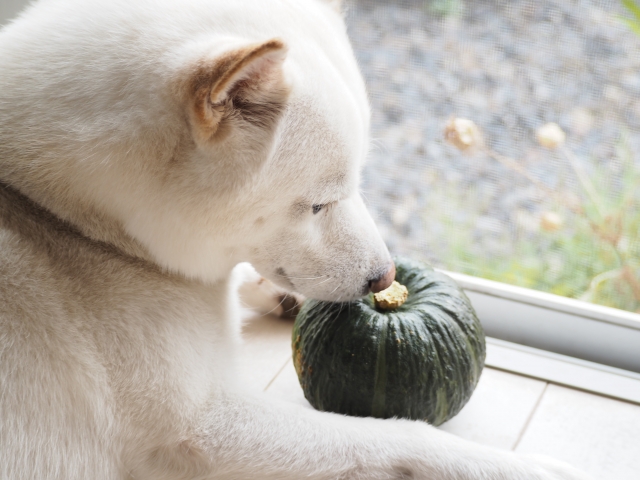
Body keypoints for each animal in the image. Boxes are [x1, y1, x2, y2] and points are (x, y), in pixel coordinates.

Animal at [0, 1, 592, 478]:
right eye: (317, 204)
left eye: (359, 181)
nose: (385, 278)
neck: (69, 220)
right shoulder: (202, 429)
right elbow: (396, 437)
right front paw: (511, 465)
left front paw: (271, 293)